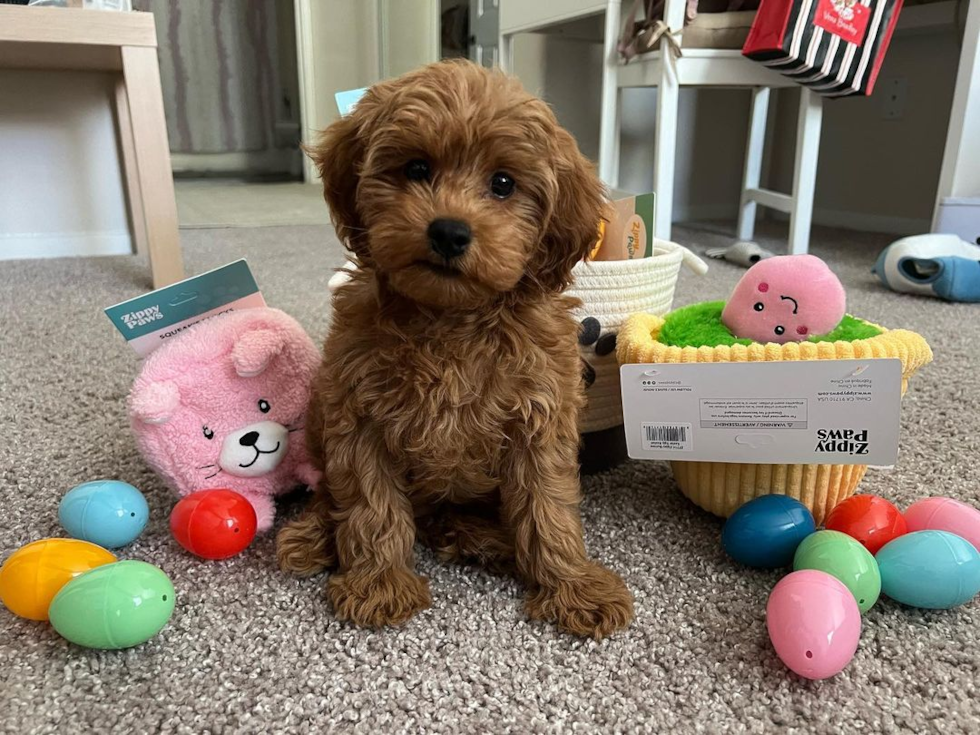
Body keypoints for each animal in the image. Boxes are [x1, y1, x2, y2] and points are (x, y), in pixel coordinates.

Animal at [278, 60, 636, 640]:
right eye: (417, 167)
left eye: (503, 183)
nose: (448, 231)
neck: (452, 319)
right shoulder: (358, 415)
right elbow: (370, 505)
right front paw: (380, 582)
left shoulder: (539, 419)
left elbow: (549, 508)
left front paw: (572, 584)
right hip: (320, 409)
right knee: (333, 494)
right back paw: (315, 536)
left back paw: (485, 539)